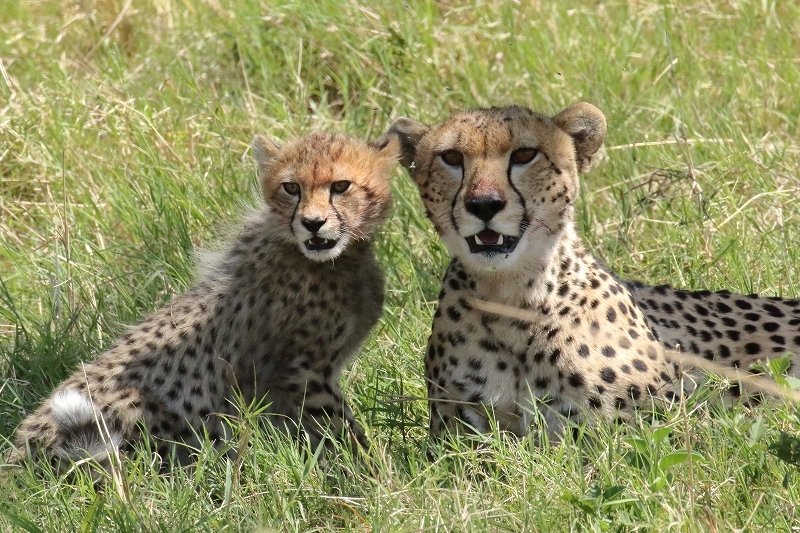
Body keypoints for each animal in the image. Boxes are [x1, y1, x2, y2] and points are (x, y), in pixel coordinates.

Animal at [10, 131, 400, 468]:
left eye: (340, 186)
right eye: (291, 187)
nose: (312, 223)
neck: (332, 259)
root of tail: (16, 459)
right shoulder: (303, 372)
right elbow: (343, 431)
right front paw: (373, 473)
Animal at [384, 104, 796, 440]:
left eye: (525, 154)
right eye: (451, 157)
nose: (484, 204)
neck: (510, 297)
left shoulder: (653, 425)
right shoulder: (461, 440)